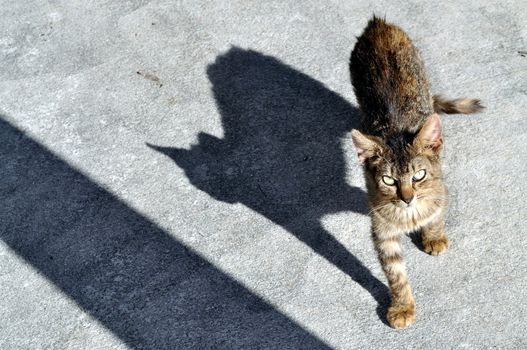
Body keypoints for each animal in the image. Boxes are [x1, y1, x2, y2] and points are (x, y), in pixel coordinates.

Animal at [348, 16, 484, 328]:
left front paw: (433, 236)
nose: (407, 198)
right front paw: (402, 306)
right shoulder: (382, 230)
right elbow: (395, 273)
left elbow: (436, 215)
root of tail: (378, 24)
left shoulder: (440, 188)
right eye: (388, 180)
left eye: (418, 176)